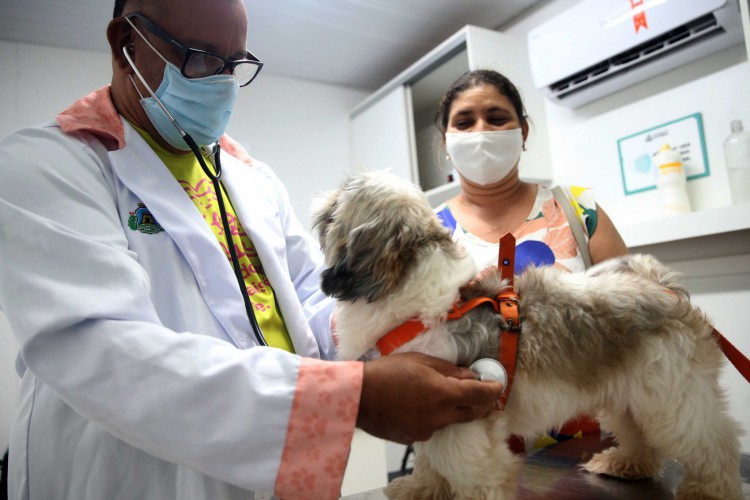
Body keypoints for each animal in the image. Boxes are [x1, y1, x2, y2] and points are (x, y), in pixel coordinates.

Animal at [312, 171, 748, 500]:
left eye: (336, 208)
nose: (321, 197)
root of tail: (663, 287)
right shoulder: (430, 411)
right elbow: (430, 460)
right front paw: (421, 488)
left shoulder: (464, 418)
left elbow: (471, 472)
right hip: (629, 394)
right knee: (641, 436)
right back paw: (626, 463)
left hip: (673, 394)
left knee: (712, 441)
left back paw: (709, 489)